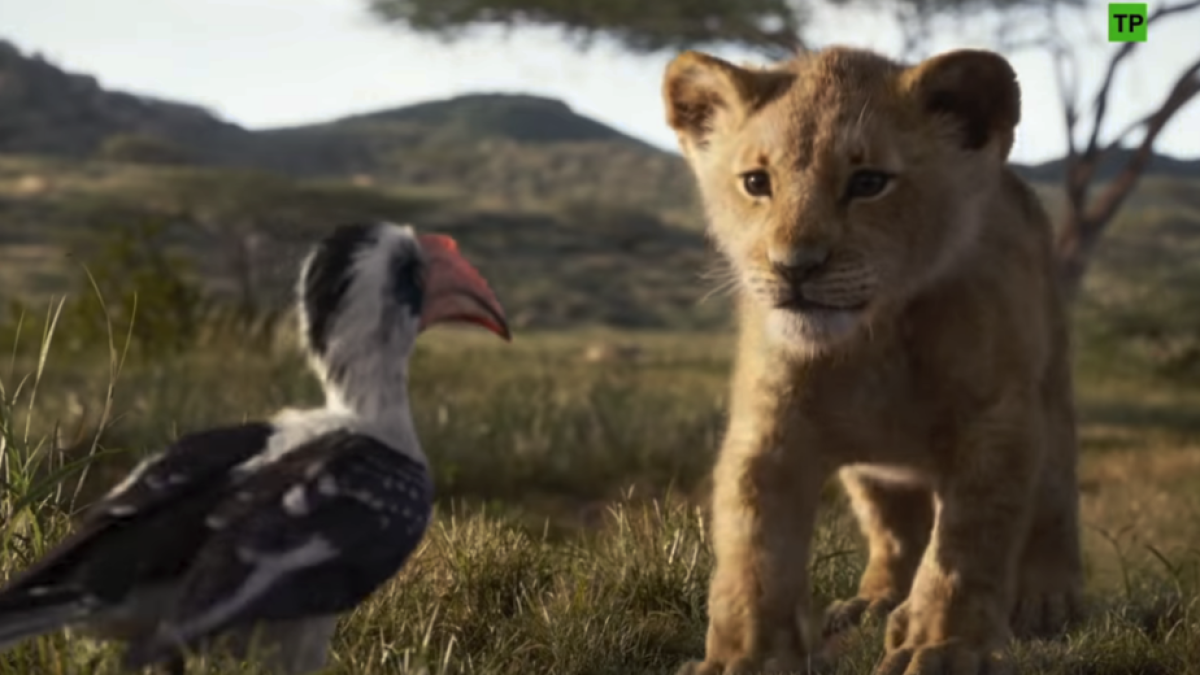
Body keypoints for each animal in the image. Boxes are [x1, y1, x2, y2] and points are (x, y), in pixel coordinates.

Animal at [661, 46, 1084, 675]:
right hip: (872, 473)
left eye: (868, 183)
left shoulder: (996, 422)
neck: (871, 340)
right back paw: (874, 602)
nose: (794, 267)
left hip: (1051, 393)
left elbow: (967, 547)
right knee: (895, 533)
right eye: (757, 182)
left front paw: (944, 647)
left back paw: (1047, 602)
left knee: (1055, 498)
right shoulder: (770, 429)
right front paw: (745, 657)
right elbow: (754, 550)